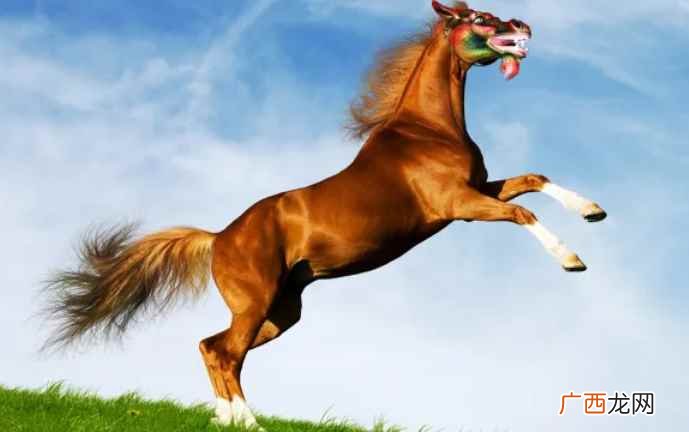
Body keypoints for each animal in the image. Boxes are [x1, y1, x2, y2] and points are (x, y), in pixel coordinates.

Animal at [44, 1, 606, 429]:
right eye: (483, 20)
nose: (526, 27)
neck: (427, 129)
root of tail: (218, 236)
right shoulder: (459, 205)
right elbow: (521, 214)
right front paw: (573, 259)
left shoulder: (478, 190)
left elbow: (533, 179)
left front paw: (593, 211)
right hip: (256, 304)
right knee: (224, 352)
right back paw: (250, 423)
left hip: (281, 312)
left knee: (211, 347)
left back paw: (224, 420)